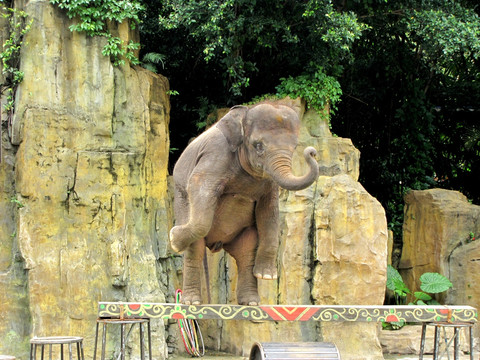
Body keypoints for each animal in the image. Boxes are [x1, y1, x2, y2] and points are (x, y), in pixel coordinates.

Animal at [169, 102, 318, 306]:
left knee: (246, 252)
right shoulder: (215, 153)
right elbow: (199, 186)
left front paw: (266, 276)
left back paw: (251, 302)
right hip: (181, 200)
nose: (312, 151)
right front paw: (174, 240)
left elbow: (269, 210)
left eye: (295, 147)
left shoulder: (268, 183)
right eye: (258, 145)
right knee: (196, 249)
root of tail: (216, 244)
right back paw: (192, 302)